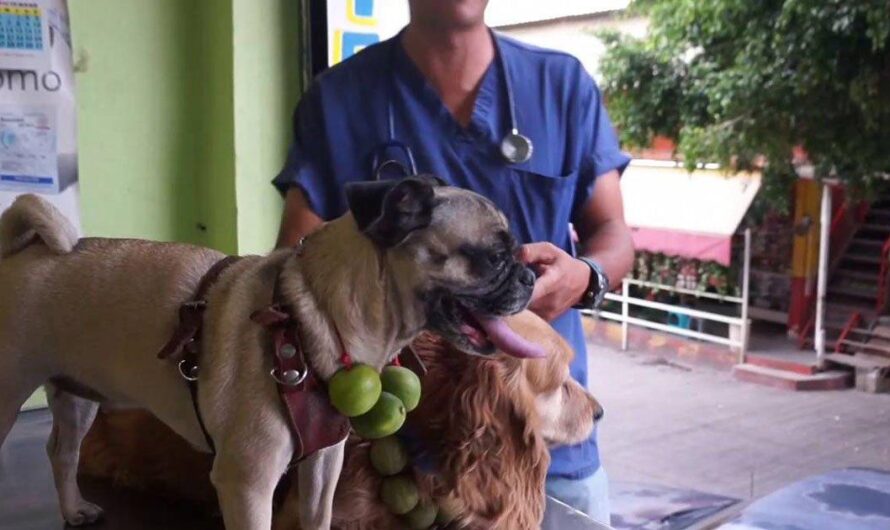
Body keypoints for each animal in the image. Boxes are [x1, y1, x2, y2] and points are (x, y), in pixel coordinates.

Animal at [0, 177, 540, 528]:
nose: (529, 275)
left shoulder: (322, 465)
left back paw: (73, 509)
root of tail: (22, 254)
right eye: (494, 256)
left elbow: (317, 519)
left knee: (62, 452)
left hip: (78, 398)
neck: (310, 316)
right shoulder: (246, 482)